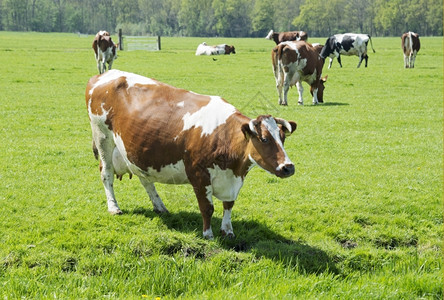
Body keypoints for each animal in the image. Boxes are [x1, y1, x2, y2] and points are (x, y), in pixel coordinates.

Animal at [85, 69, 296, 239]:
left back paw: (160, 206)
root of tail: (104, 74)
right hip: (102, 137)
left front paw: (228, 231)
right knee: (106, 173)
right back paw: (114, 207)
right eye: (264, 139)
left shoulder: (234, 179)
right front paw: (208, 234)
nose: (288, 167)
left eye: (283, 137)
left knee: (145, 179)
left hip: (133, 153)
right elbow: (207, 208)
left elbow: (229, 205)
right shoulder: (198, 174)